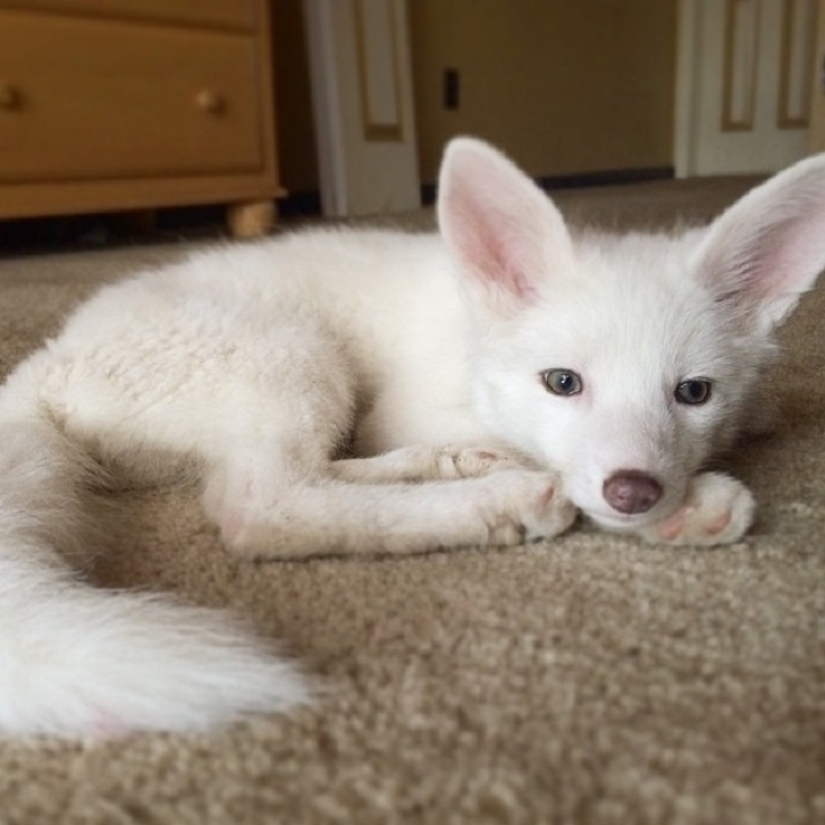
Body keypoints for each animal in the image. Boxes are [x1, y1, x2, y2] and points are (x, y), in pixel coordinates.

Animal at [0, 137, 823, 737]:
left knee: (307, 473)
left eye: (693, 392)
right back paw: (492, 498)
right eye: (562, 382)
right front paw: (642, 502)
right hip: (293, 355)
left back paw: (455, 465)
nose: (636, 492)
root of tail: (47, 365)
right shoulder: (405, 407)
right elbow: (558, 467)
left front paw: (677, 504)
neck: (472, 339)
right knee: (264, 504)